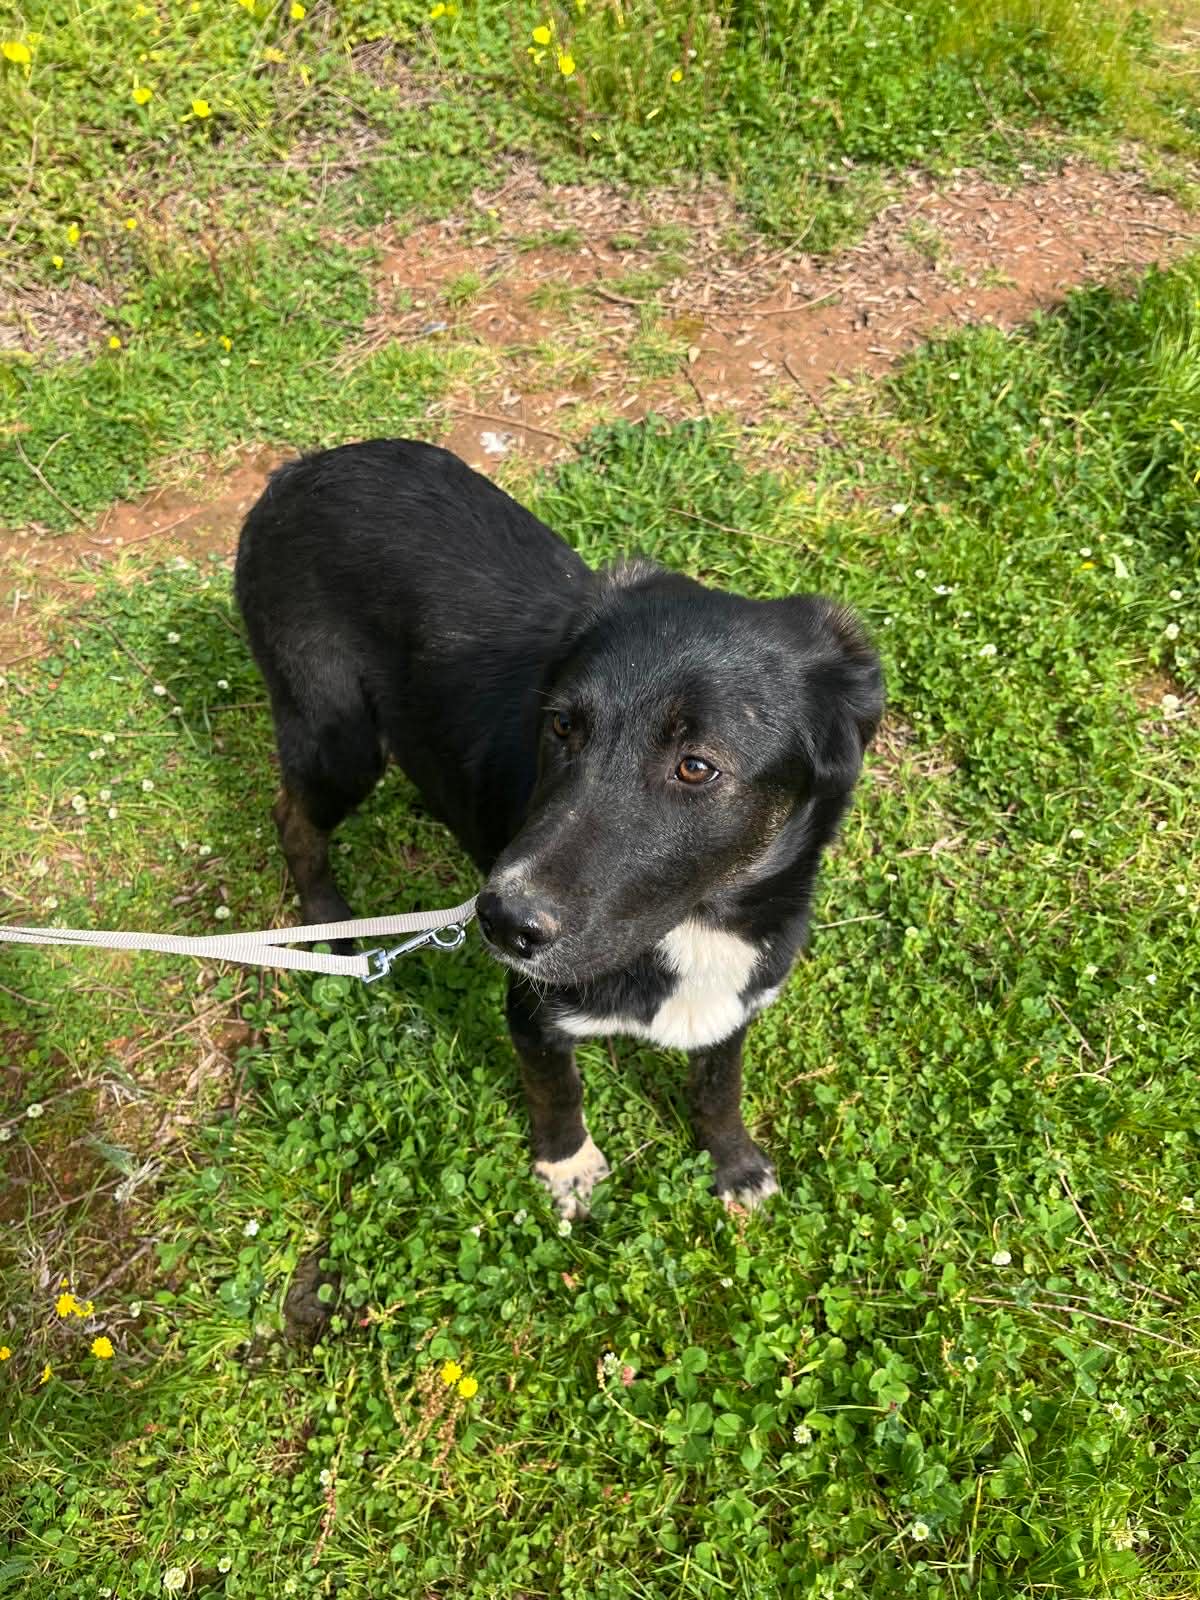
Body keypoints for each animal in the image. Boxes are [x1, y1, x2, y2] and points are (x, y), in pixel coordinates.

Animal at [235, 439, 883, 1218]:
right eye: (564, 726)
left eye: (696, 766)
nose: (501, 922)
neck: (699, 922)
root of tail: (299, 469)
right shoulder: (531, 1010)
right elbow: (558, 1091)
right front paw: (567, 1165)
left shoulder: (736, 1002)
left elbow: (718, 1086)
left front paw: (733, 1162)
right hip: (340, 738)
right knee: (293, 817)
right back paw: (330, 921)